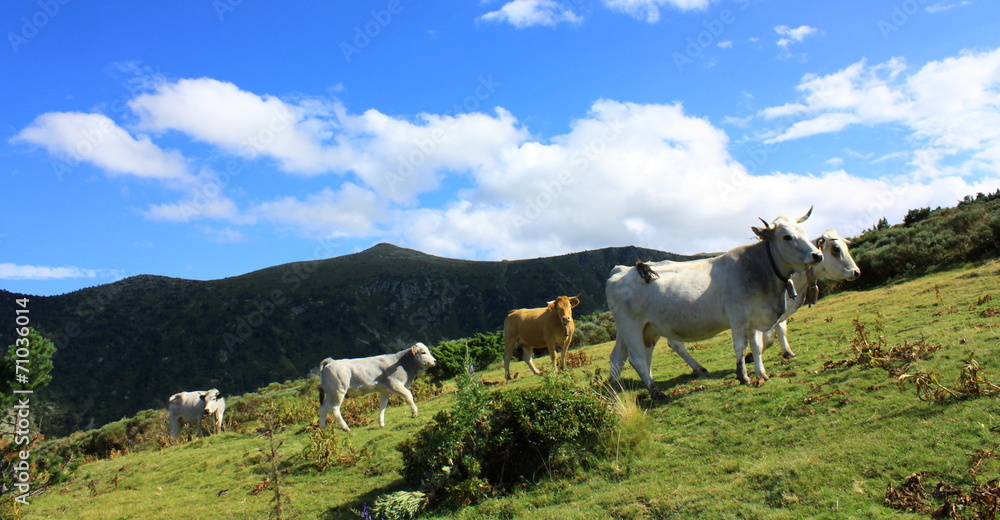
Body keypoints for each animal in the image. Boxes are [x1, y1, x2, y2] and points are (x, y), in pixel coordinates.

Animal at [606, 209, 823, 395]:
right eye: (787, 237)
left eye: (804, 232)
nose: (817, 255)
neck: (759, 269)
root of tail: (623, 270)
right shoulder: (738, 315)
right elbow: (740, 346)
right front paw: (743, 377)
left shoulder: (754, 317)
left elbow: (756, 345)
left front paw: (762, 374)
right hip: (632, 327)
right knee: (637, 358)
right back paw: (655, 392)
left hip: (642, 330)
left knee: (620, 357)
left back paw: (617, 390)